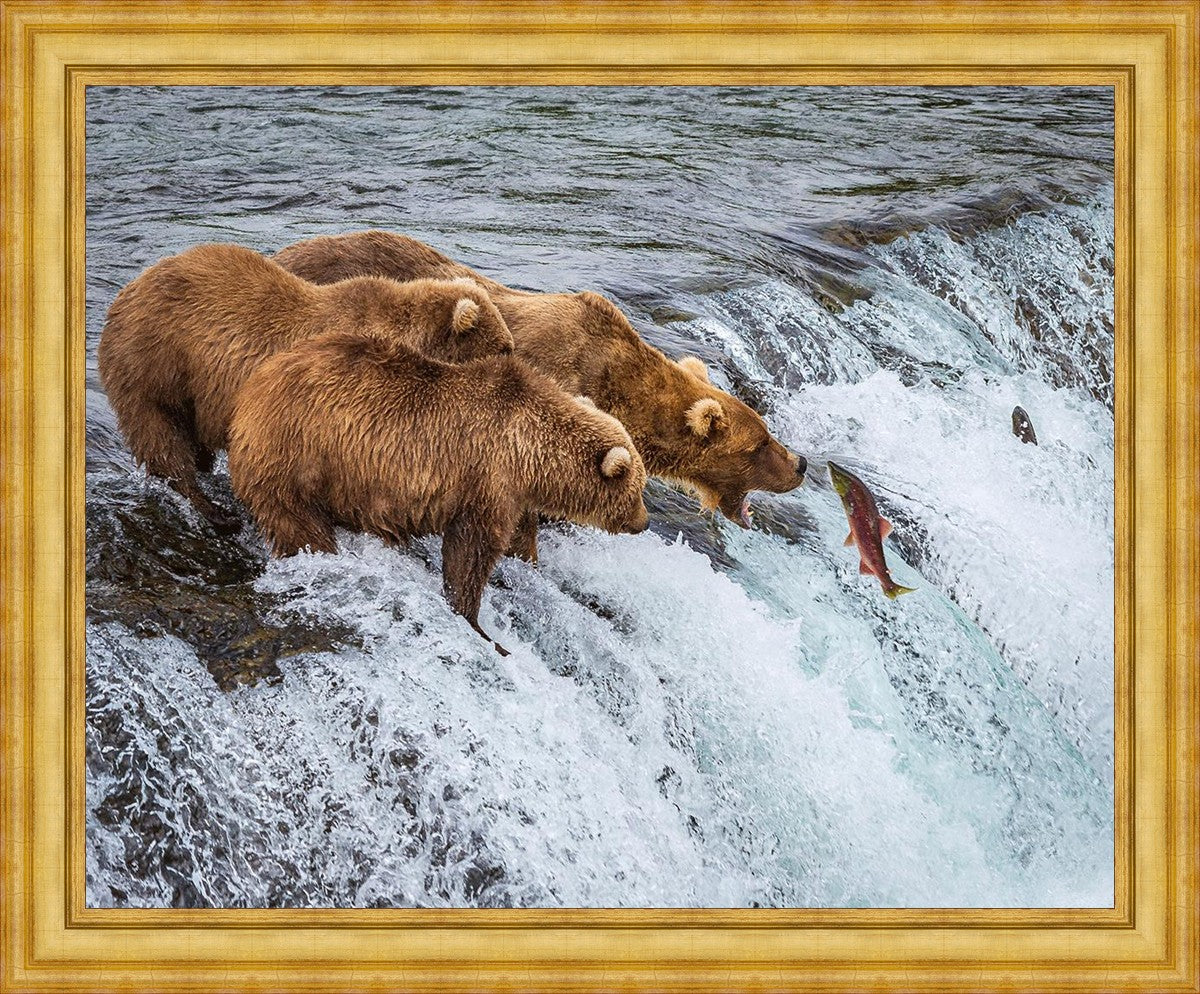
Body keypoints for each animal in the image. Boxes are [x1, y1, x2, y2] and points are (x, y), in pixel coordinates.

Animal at [97, 243, 513, 531]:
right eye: (505, 347)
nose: (516, 364)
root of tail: (126, 292)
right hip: (155, 363)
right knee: (161, 437)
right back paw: (213, 511)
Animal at [226, 330, 649, 654]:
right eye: (638, 489)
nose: (644, 522)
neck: (530, 452)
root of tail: (250, 391)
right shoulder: (486, 479)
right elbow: (471, 552)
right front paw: (478, 624)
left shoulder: (512, 494)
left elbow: (517, 539)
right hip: (297, 456)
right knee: (300, 524)